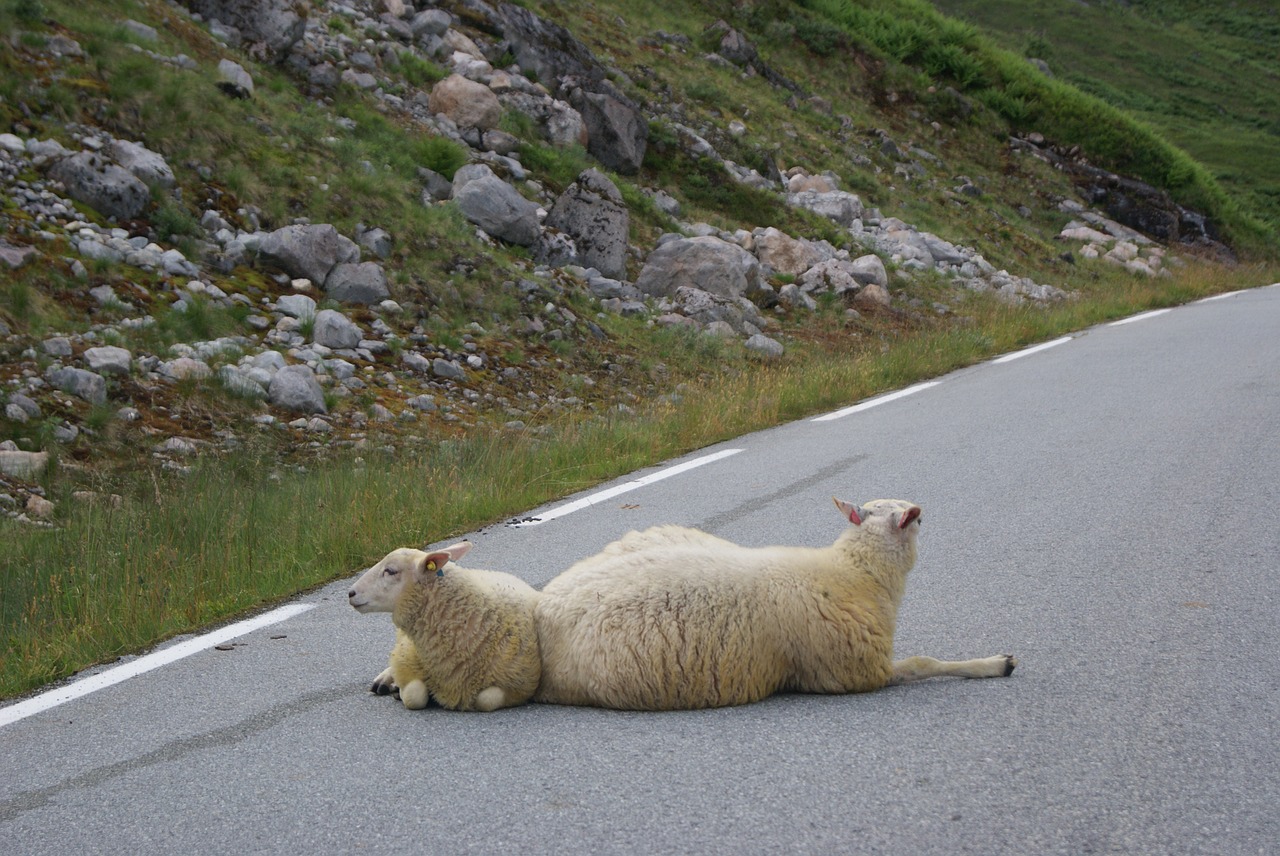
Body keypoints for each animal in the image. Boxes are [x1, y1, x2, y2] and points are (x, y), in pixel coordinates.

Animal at [345, 539, 540, 716]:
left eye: (391, 571)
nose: (350, 593)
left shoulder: (518, 687)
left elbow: (486, 699)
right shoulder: (408, 661)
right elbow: (414, 696)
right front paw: (399, 690)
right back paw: (384, 680)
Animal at [535, 496, 1013, 711]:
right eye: (917, 522)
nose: (923, 512)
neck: (855, 573)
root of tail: (543, 610)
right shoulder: (857, 671)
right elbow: (922, 663)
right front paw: (993, 664)